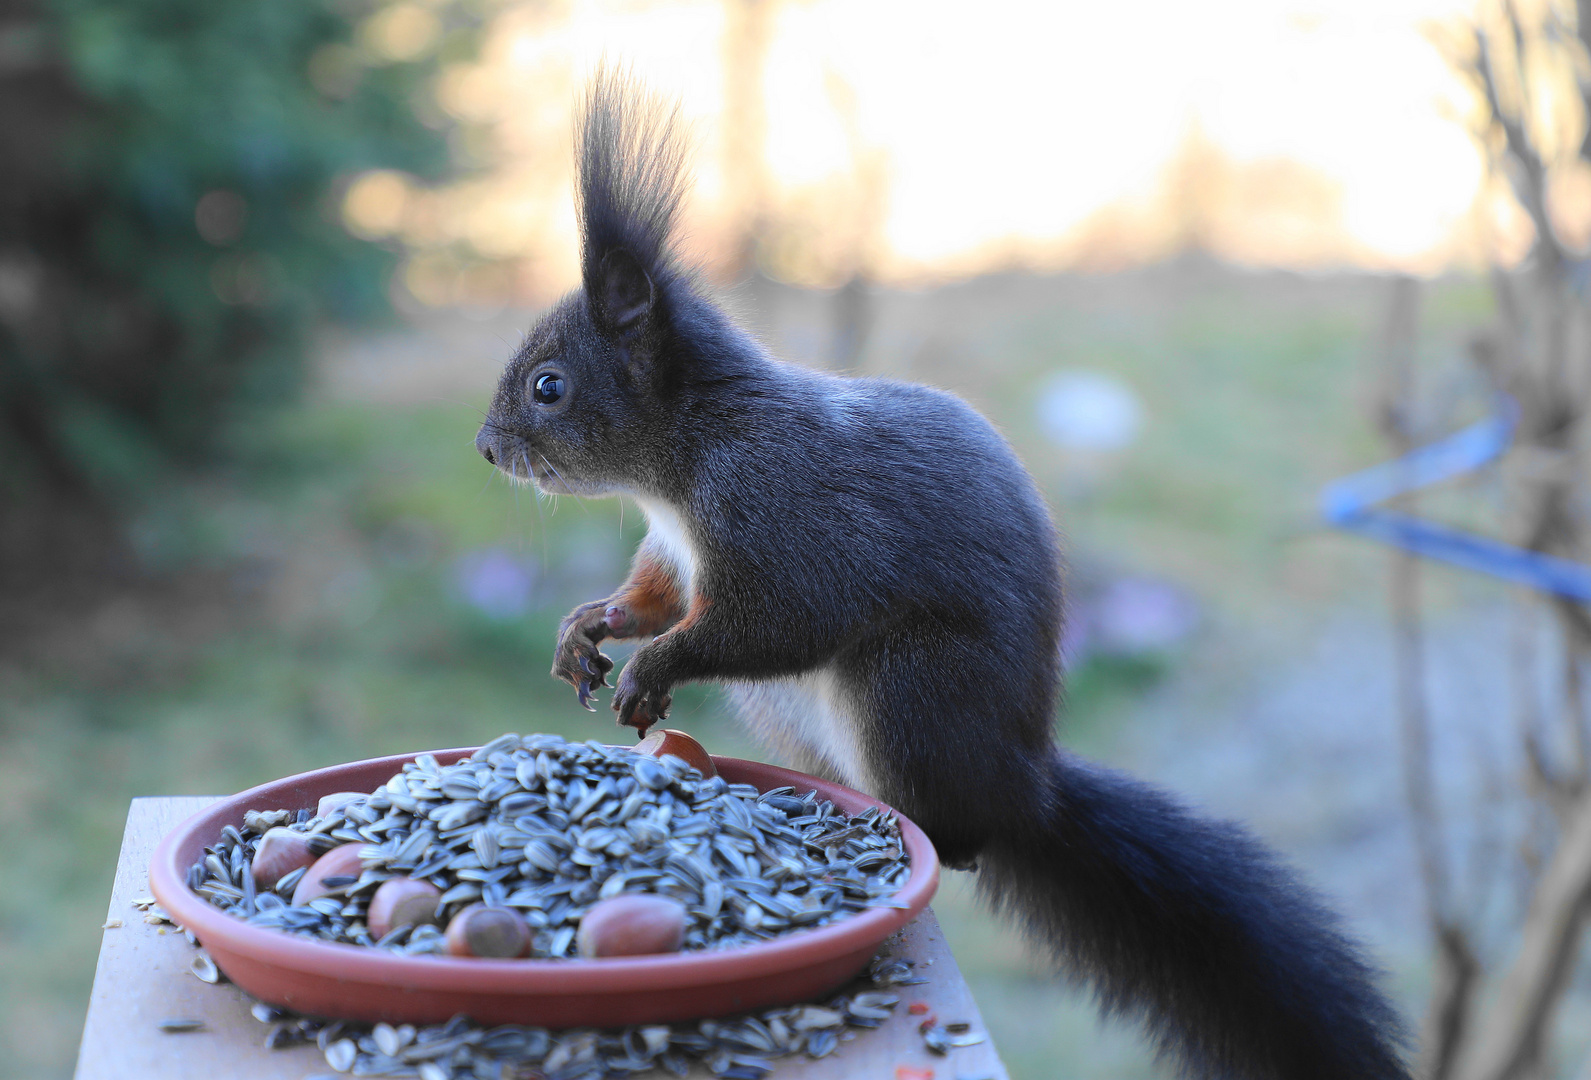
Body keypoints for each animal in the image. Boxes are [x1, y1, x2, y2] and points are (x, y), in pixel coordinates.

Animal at [470, 75, 1406, 1080]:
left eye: (550, 387)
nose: (484, 449)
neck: (683, 463)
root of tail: (1023, 789)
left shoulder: (784, 516)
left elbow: (777, 621)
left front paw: (656, 668)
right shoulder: (675, 551)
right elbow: (658, 599)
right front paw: (586, 629)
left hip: (910, 693)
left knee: (956, 843)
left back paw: (899, 834)